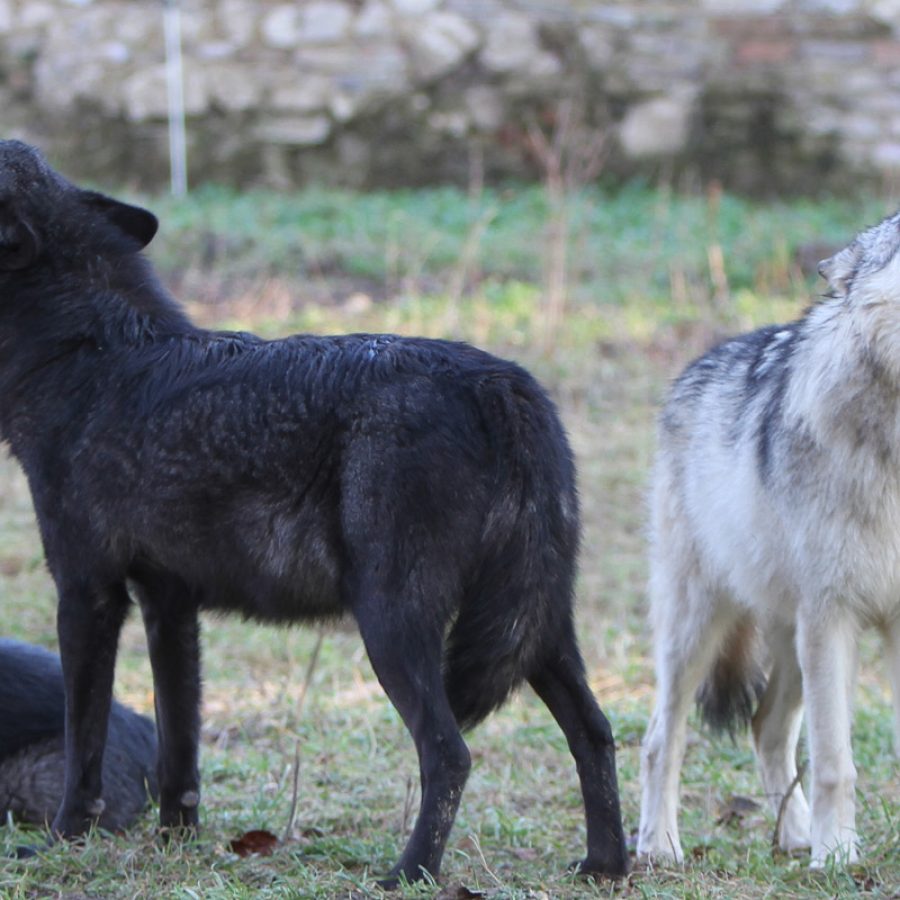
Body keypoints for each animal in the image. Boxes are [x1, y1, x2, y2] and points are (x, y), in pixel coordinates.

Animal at [636, 209, 900, 864]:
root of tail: (699, 363)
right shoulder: (832, 617)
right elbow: (834, 760)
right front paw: (836, 855)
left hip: (791, 639)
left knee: (766, 729)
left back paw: (795, 833)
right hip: (697, 629)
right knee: (661, 738)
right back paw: (660, 845)